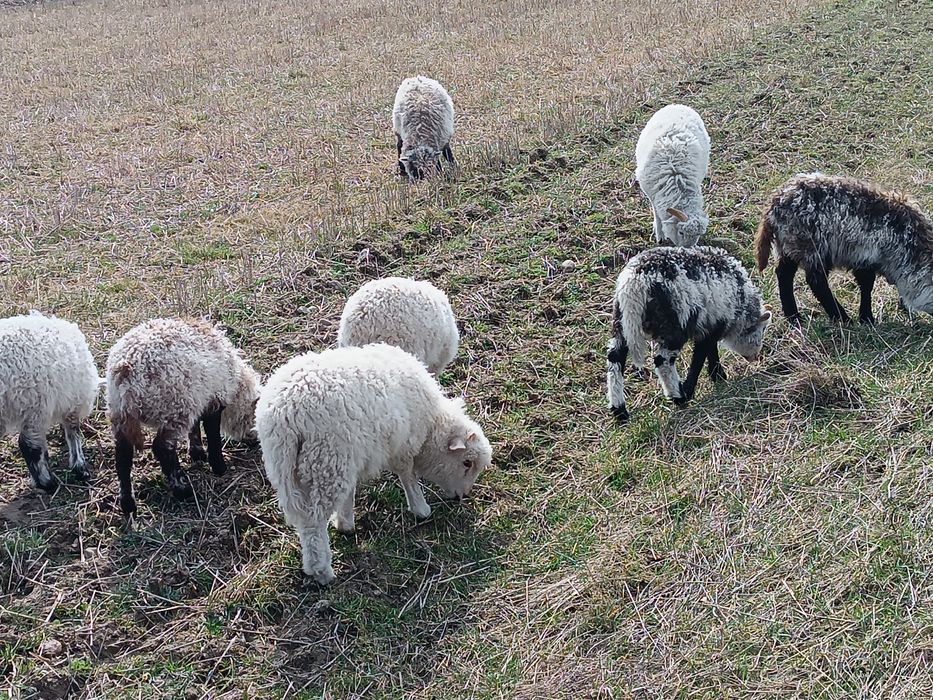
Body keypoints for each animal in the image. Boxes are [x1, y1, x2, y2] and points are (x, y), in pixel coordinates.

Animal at [106, 318, 261, 516]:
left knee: (123, 455)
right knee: (162, 447)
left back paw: (128, 504)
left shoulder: (197, 396)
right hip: (173, 405)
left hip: (119, 411)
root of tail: (125, 371)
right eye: (253, 419)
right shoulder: (214, 396)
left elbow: (195, 427)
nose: (255, 441)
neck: (237, 384)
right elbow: (212, 432)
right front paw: (218, 466)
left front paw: (197, 453)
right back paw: (182, 490)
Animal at [256, 342, 492, 585]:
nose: (461, 497)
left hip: (292, 465)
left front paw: (345, 523)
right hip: (325, 460)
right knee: (313, 523)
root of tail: (287, 414)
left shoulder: (353, 458)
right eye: (466, 463)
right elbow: (408, 476)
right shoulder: (403, 446)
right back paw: (322, 572)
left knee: (305, 519)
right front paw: (421, 508)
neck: (431, 424)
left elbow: (349, 493)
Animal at [606, 246, 772, 421]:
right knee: (663, 361)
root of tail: (634, 284)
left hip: (620, 321)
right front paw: (697, 384)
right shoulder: (713, 322)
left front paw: (718, 376)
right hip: (673, 324)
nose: (756, 358)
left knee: (615, 359)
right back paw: (679, 397)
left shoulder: (709, 323)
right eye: (760, 331)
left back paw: (619, 410)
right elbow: (701, 355)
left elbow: (710, 350)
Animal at [634, 104, 711, 247]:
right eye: (680, 232)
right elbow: (657, 216)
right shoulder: (652, 195)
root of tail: (678, 105)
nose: (688, 250)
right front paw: (659, 235)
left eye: (698, 235)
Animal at [755, 172, 933, 325]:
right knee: (816, 282)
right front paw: (867, 318)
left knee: (784, 274)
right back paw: (840, 317)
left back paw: (793, 316)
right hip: (810, 245)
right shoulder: (865, 254)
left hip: (790, 244)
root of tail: (774, 205)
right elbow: (867, 284)